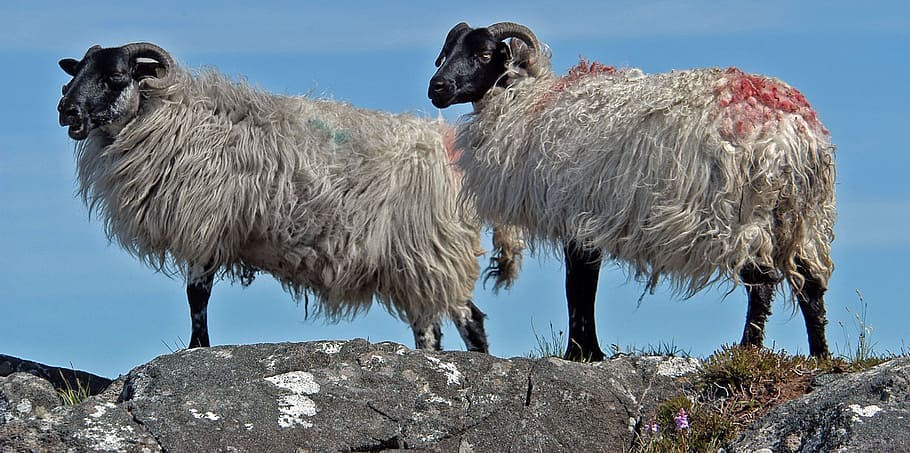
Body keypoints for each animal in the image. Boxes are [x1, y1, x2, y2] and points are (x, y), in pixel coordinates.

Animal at [56, 42, 522, 352]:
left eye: (116, 77)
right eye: (75, 74)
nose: (66, 111)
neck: (170, 117)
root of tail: (457, 153)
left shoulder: (206, 225)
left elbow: (197, 296)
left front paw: (197, 349)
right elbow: (197, 297)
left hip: (431, 248)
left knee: (465, 321)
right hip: (413, 261)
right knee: (436, 323)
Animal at [428, 22, 836, 360]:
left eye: (484, 54)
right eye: (447, 51)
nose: (437, 88)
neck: (530, 103)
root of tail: (793, 133)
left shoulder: (577, 217)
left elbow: (578, 287)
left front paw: (580, 353)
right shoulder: (585, 220)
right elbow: (582, 285)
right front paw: (588, 352)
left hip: (744, 212)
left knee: (761, 282)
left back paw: (749, 350)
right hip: (799, 217)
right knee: (811, 284)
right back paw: (821, 357)